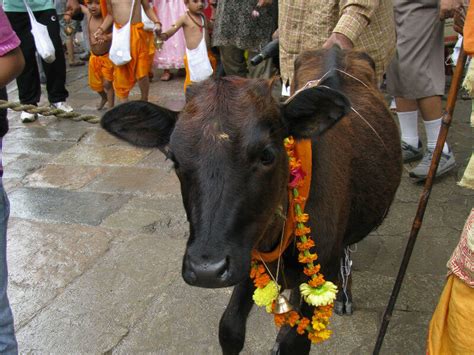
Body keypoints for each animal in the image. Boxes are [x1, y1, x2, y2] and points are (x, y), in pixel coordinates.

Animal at [102, 46, 402, 354]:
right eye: (174, 159)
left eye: (267, 154)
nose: (206, 270)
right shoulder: (245, 255)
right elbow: (230, 328)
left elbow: (295, 342)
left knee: (347, 250)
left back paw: (343, 296)